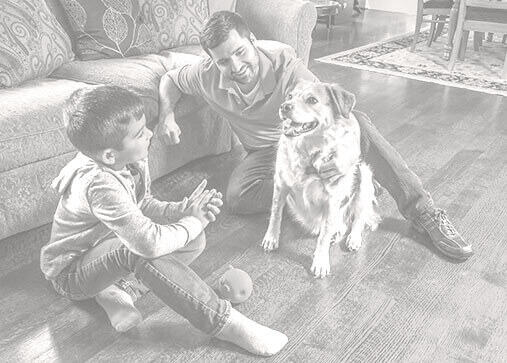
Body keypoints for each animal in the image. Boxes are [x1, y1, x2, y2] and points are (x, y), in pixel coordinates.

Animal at [264, 80, 380, 278]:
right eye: (289, 96)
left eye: (312, 100)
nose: (284, 106)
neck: (306, 152)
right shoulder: (280, 185)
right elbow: (275, 214)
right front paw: (271, 237)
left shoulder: (332, 201)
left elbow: (324, 236)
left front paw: (320, 262)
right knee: (342, 225)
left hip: (364, 177)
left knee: (358, 219)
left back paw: (353, 238)